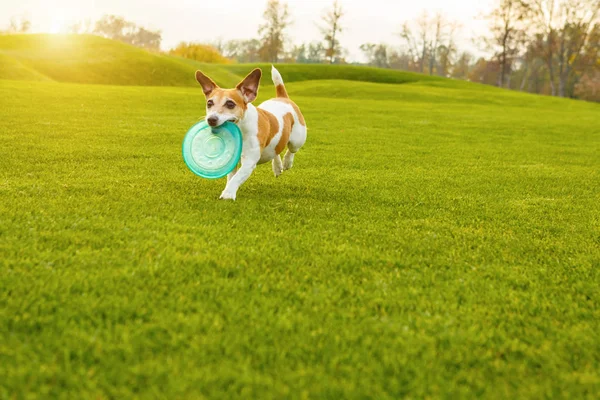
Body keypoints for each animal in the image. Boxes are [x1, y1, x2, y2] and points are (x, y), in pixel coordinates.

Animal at [195, 67, 308, 203]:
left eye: (230, 104)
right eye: (209, 103)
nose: (211, 119)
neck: (240, 129)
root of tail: (283, 98)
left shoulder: (249, 161)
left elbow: (236, 178)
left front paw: (228, 194)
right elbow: (231, 177)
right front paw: (228, 189)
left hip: (297, 139)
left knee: (291, 150)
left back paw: (287, 162)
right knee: (276, 149)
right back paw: (277, 166)